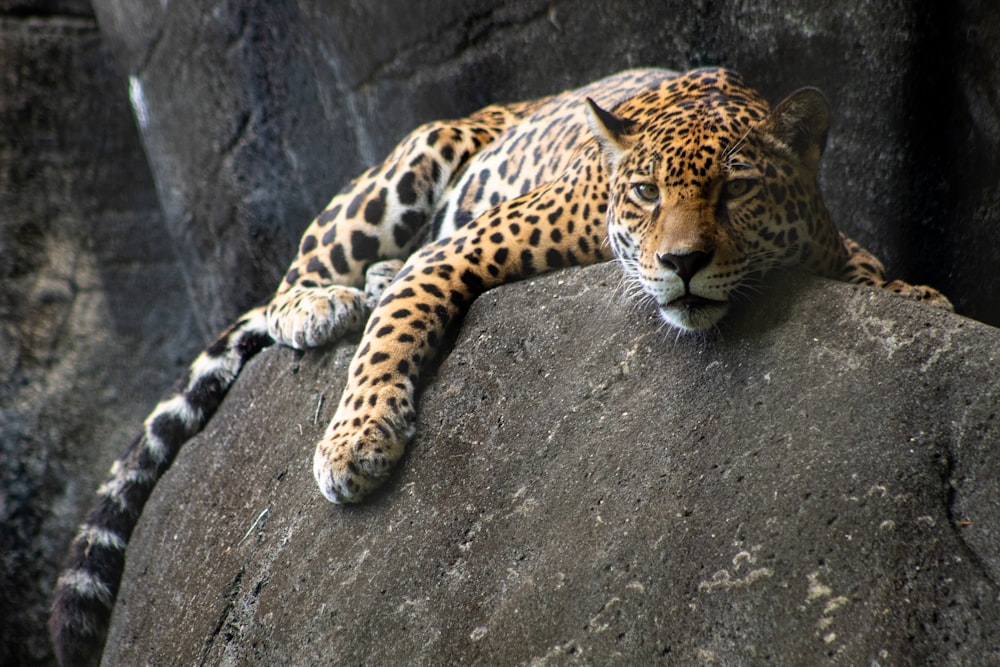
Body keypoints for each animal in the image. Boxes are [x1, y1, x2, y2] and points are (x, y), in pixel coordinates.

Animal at [48, 66, 952, 664]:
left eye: (736, 191)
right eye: (647, 193)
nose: (683, 263)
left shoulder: (829, 245)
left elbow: (868, 265)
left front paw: (918, 292)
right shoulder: (456, 251)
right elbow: (393, 333)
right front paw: (355, 443)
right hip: (407, 166)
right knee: (292, 276)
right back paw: (320, 302)